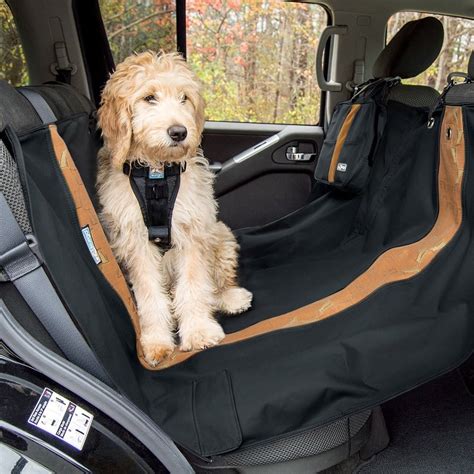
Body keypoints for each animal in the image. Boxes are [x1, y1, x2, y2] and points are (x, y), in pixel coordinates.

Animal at [95, 51, 252, 364]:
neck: (157, 174)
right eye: (149, 98)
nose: (179, 132)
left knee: (217, 284)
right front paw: (156, 341)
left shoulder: (193, 231)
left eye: (184, 98)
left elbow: (193, 286)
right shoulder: (136, 242)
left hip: (221, 236)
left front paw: (199, 331)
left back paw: (231, 298)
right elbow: (149, 294)